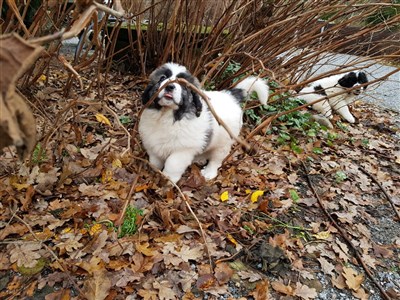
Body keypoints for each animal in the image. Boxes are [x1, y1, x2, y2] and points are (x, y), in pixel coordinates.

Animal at [138, 62, 268, 183]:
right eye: (162, 78)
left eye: (184, 85)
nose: (170, 86)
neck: (167, 114)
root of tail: (230, 96)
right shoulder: (152, 142)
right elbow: (155, 160)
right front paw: (154, 171)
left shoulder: (183, 149)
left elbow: (173, 164)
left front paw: (168, 180)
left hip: (224, 142)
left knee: (216, 158)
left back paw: (209, 172)